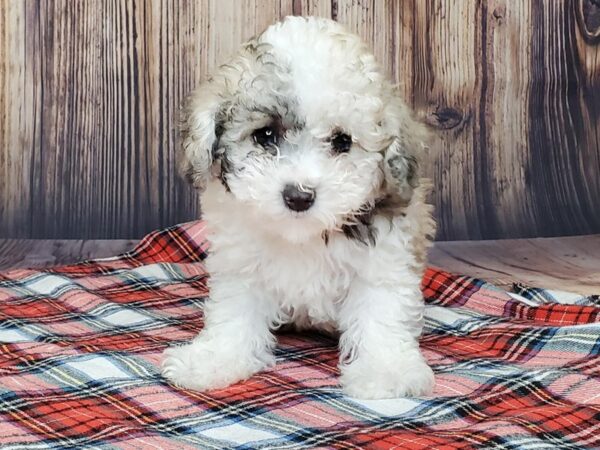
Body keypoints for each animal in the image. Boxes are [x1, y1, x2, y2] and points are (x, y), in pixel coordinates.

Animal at [163, 15, 436, 400]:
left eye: (342, 141)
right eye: (265, 135)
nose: (299, 196)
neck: (302, 235)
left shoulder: (384, 260)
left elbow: (380, 313)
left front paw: (386, 370)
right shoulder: (241, 262)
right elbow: (234, 313)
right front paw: (215, 360)